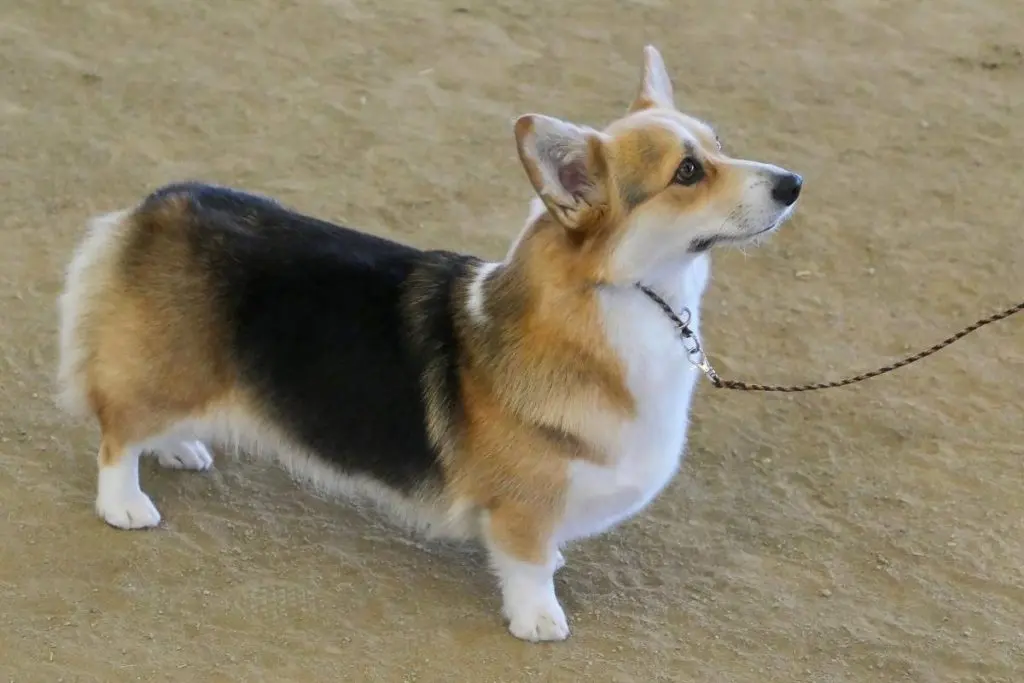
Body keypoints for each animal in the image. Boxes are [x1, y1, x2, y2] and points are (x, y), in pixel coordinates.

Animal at [58, 45, 798, 643]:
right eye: (688, 172)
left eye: (719, 144)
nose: (794, 183)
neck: (623, 300)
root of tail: (159, 205)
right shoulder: (525, 506)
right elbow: (529, 562)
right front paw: (539, 618)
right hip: (164, 372)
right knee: (117, 432)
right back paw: (126, 503)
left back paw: (182, 446)